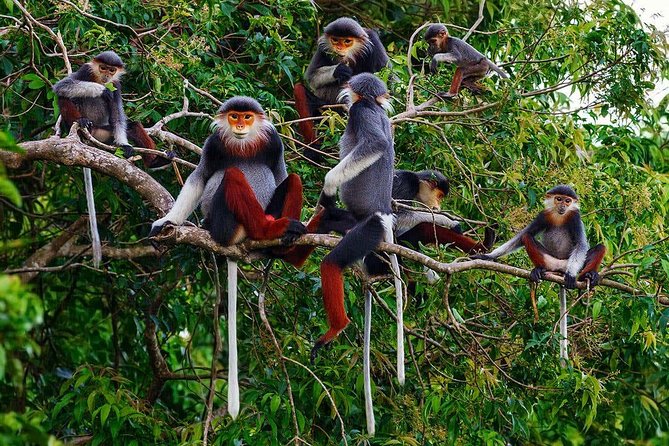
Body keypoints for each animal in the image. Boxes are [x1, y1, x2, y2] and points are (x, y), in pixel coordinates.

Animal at [293, 17, 389, 161]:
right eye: (335, 40)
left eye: (347, 41)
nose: (338, 48)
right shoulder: (322, 47)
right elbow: (312, 77)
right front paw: (340, 70)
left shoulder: (374, 42)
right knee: (299, 89)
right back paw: (313, 150)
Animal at [472, 185, 605, 290]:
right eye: (559, 199)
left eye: (568, 201)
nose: (563, 206)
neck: (559, 216)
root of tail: (560, 268)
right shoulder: (543, 215)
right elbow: (521, 236)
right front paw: (487, 256)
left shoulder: (575, 217)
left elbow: (581, 244)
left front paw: (571, 274)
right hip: (550, 261)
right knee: (527, 236)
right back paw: (539, 270)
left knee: (601, 247)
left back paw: (589, 276)